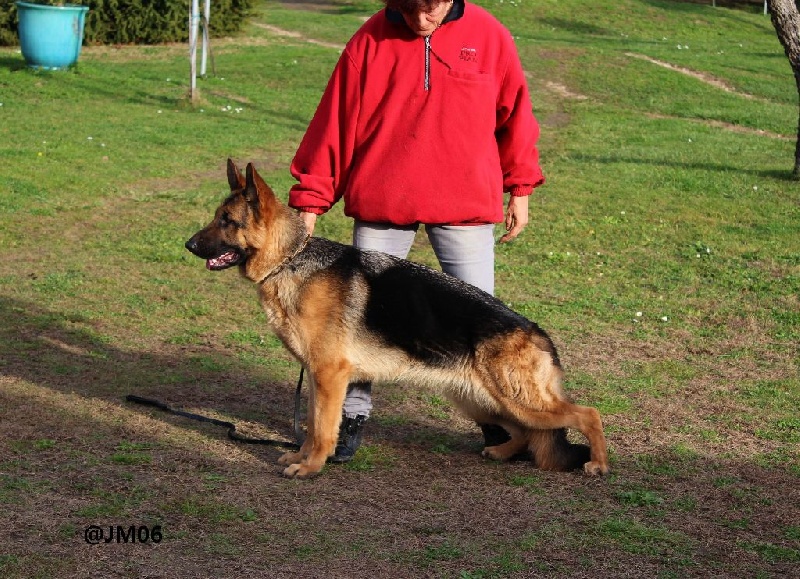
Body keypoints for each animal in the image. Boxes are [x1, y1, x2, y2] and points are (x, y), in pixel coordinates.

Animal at [186, 160, 612, 480]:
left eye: (227, 221)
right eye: (216, 217)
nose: (187, 245)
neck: (290, 260)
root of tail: (538, 333)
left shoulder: (329, 376)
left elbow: (322, 429)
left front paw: (311, 468)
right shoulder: (320, 380)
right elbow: (311, 424)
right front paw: (300, 457)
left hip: (516, 399)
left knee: (588, 414)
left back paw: (598, 464)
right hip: (481, 400)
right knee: (526, 432)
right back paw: (501, 452)